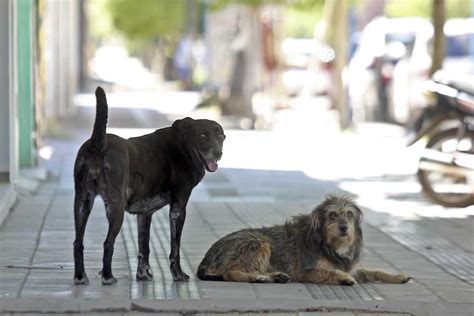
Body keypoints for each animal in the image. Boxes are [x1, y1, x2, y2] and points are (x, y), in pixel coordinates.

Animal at [73, 87, 225, 286]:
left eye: (221, 136)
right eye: (203, 135)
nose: (218, 152)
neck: (183, 146)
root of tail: (98, 143)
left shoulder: (145, 214)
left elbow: (144, 247)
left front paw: (143, 275)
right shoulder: (178, 209)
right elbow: (175, 248)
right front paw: (177, 274)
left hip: (82, 203)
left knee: (78, 242)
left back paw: (80, 276)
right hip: (116, 207)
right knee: (108, 242)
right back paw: (107, 276)